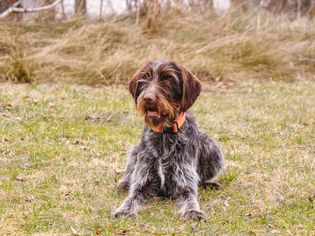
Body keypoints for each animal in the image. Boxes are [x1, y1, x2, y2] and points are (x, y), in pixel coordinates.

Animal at [112, 60, 223, 220]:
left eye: (168, 79)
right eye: (145, 78)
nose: (148, 98)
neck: (164, 133)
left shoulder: (184, 181)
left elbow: (190, 197)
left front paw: (193, 212)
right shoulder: (143, 180)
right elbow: (131, 197)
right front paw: (124, 210)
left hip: (211, 146)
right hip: (135, 151)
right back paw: (124, 183)